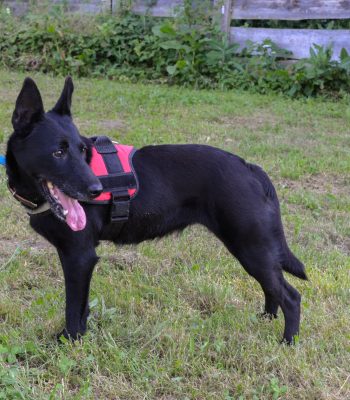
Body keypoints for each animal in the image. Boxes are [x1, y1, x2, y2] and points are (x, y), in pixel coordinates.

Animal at [5, 77, 306, 344]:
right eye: (58, 152)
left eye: (82, 151)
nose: (96, 189)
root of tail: (250, 168)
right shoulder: (77, 258)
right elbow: (82, 307)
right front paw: (80, 335)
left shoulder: (79, 256)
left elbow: (72, 307)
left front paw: (68, 341)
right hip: (255, 250)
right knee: (273, 288)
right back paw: (265, 319)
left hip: (250, 247)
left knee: (291, 296)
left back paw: (287, 342)